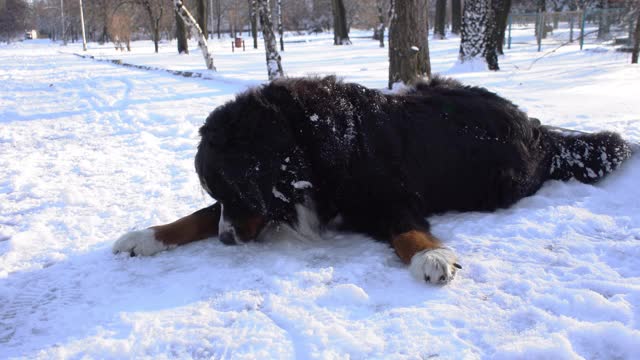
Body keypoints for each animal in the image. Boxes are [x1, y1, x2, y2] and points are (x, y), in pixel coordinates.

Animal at [112, 77, 632, 286]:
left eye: (238, 192)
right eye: (221, 192)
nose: (225, 241)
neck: (307, 141)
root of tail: (538, 128)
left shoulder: (387, 197)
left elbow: (406, 229)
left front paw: (432, 257)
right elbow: (195, 217)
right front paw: (146, 235)